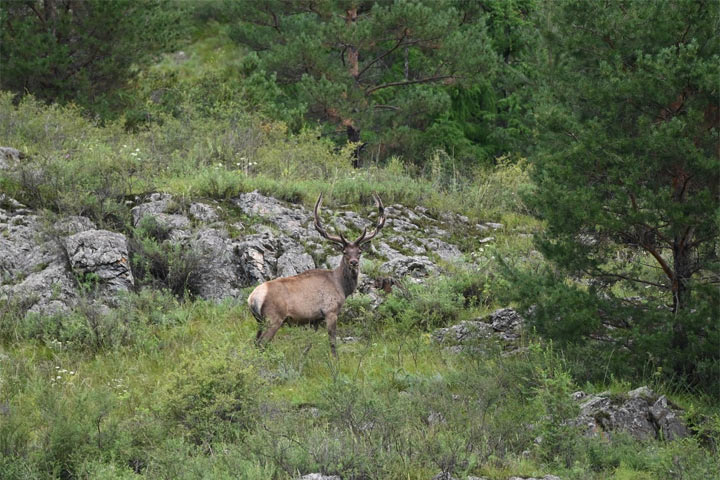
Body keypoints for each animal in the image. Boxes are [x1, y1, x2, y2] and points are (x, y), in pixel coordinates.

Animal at [248, 192, 386, 356]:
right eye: (344, 251)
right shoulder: (330, 311)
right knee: (261, 344)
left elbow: (309, 343)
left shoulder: (314, 319)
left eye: (359, 251)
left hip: (259, 320)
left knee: (255, 342)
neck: (342, 287)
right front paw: (335, 360)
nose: (354, 262)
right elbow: (332, 342)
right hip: (273, 318)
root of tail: (252, 298)